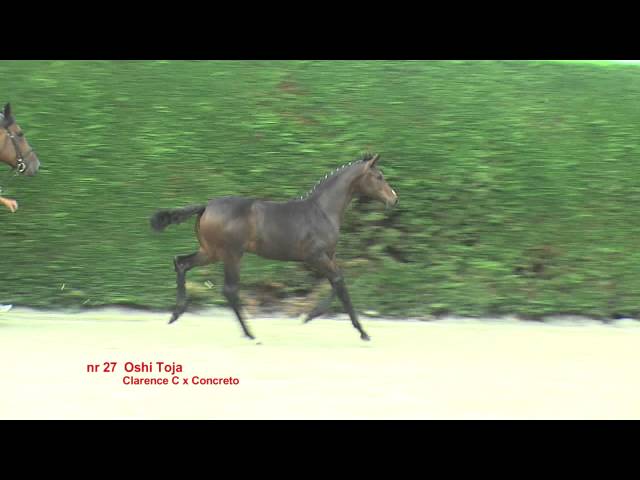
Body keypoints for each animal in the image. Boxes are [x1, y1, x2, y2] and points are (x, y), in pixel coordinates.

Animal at [150, 153, 398, 341]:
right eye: (379, 176)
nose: (394, 199)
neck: (321, 211)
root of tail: (206, 206)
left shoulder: (329, 256)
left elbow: (338, 283)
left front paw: (311, 315)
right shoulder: (315, 256)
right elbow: (339, 282)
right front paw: (362, 332)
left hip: (211, 252)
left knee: (181, 263)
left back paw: (176, 314)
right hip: (232, 254)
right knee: (229, 289)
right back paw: (249, 334)